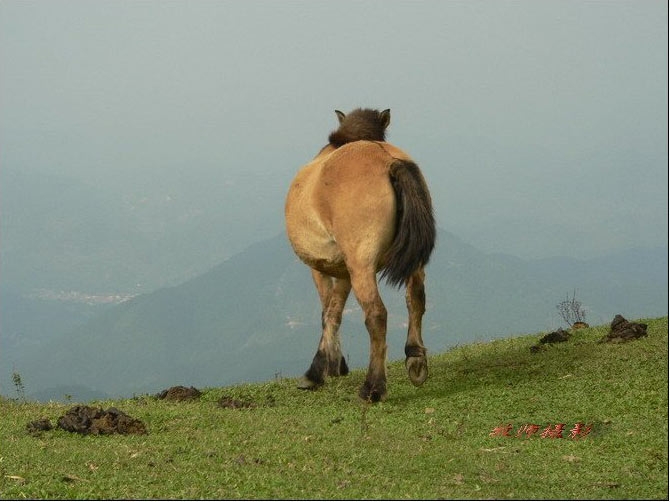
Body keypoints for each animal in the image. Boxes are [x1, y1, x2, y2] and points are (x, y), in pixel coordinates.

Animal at [284, 108, 436, 402]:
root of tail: (389, 162)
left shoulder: (320, 268)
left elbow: (327, 313)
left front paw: (318, 371)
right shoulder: (343, 270)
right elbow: (335, 311)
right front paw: (333, 366)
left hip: (361, 265)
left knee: (376, 314)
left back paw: (373, 387)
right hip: (408, 262)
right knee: (416, 298)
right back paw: (415, 360)